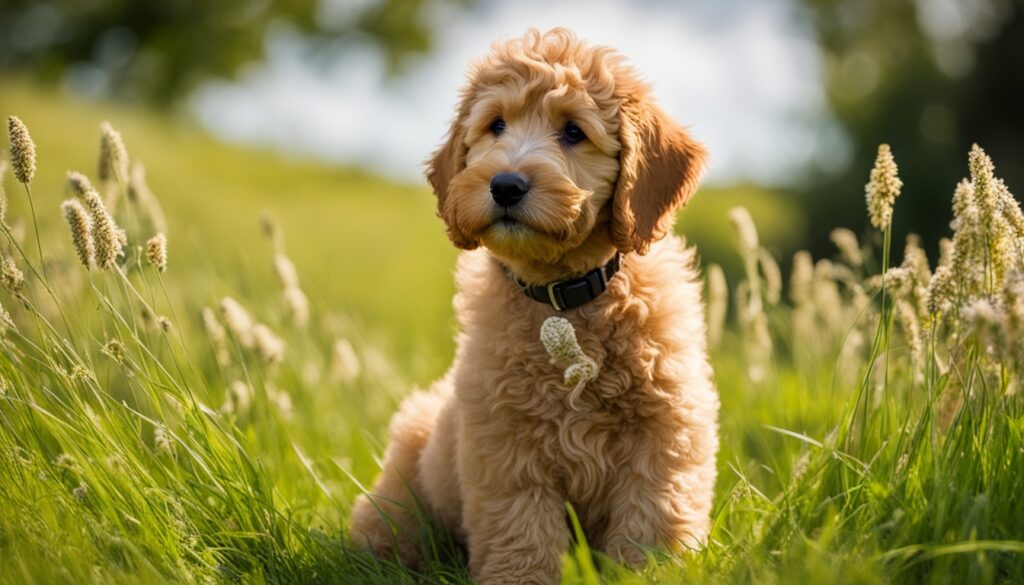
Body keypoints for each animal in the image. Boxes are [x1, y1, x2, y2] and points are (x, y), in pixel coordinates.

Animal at [352, 28, 720, 585]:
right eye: (496, 125)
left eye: (573, 132)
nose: (505, 185)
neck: (561, 297)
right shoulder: (507, 445)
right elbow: (522, 533)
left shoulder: (665, 433)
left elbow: (650, 524)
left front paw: (647, 573)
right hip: (406, 471)